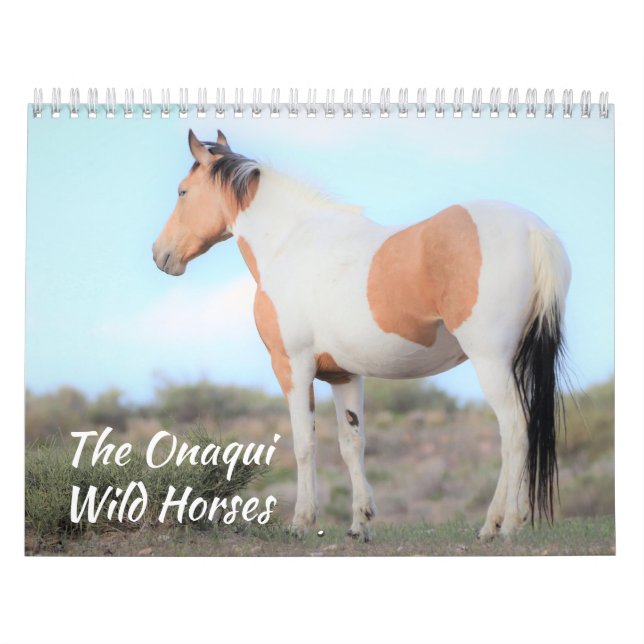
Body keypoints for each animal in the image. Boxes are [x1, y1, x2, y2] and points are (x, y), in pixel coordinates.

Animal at [152, 129, 571, 542]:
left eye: (182, 192)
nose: (160, 254)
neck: (289, 242)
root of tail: (532, 230)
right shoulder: (344, 375)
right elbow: (351, 444)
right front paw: (360, 522)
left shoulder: (293, 367)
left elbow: (304, 443)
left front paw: (302, 521)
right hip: (516, 361)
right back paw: (495, 524)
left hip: (491, 360)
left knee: (514, 429)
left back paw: (506, 523)